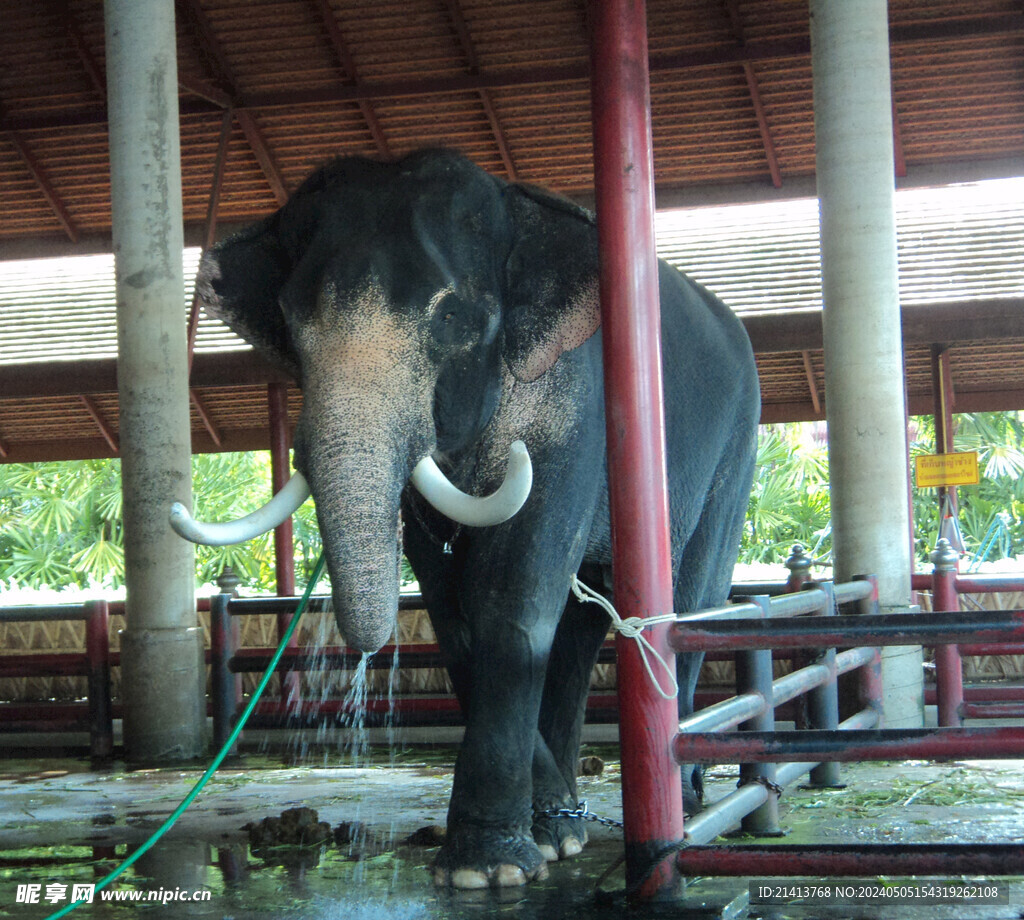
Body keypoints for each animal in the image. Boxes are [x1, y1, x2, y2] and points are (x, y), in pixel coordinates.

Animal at [172, 148, 757, 889]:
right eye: (291, 318)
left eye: (452, 317)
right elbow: (455, 617)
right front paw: (536, 839)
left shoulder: (575, 408)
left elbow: (511, 602)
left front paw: (487, 872)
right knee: (583, 626)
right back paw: (568, 820)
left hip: (736, 447)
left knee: (689, 599)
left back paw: (680, 806)